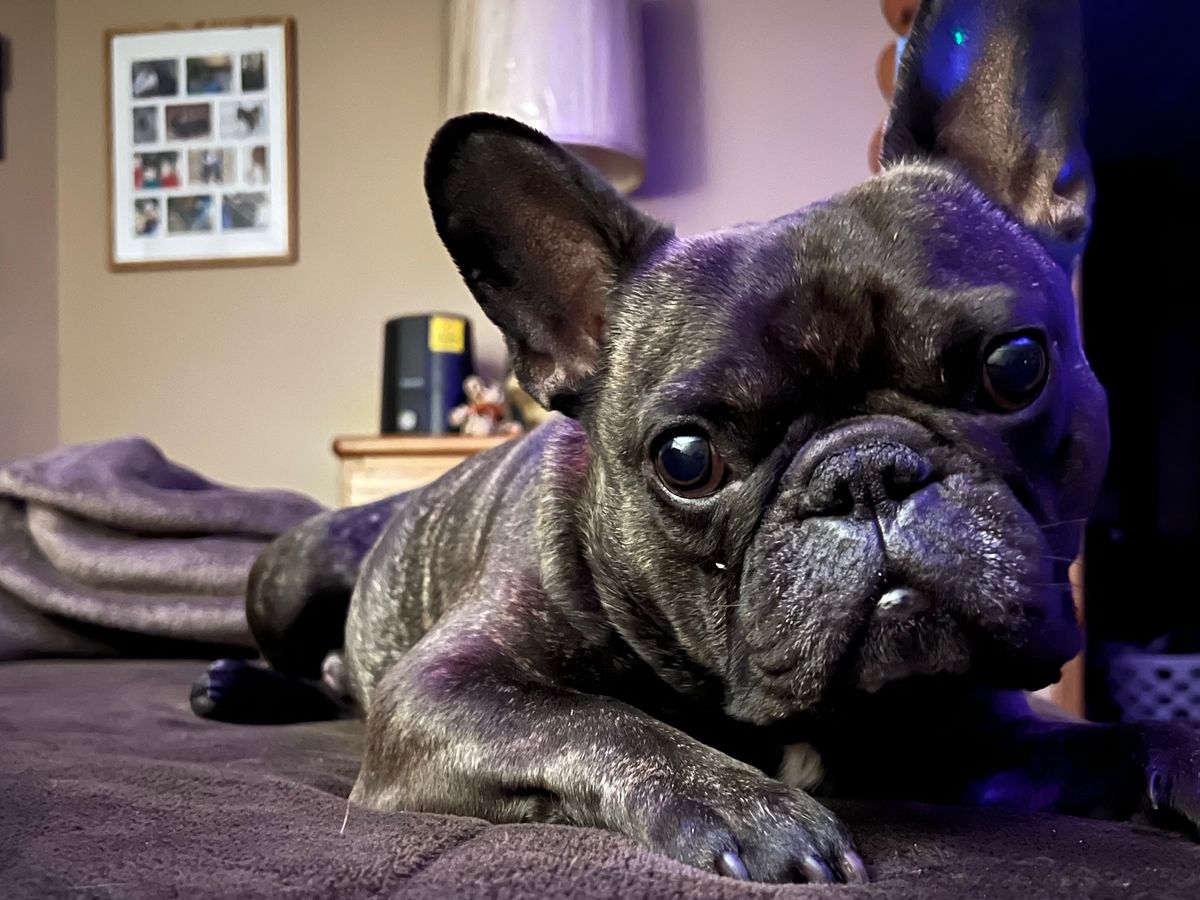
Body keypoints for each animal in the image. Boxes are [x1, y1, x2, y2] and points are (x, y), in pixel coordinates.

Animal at [193, 0, 1200, 884]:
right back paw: (239, 687)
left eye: (1015, 367)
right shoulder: (440, 691)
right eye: (686, 459)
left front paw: (1181, 750)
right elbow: (593, 722)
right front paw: (744, 805)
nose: (864, 473)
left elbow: (1106, 736)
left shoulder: (977, 738)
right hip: (289, 575)